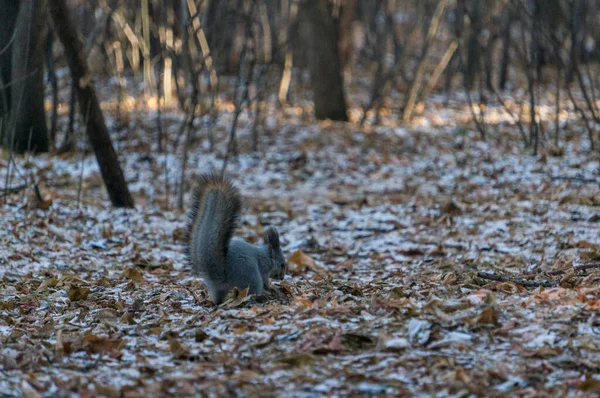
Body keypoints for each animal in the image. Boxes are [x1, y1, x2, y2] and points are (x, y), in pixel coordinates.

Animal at [186, 171, 288, 304]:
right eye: (282, 264)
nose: (282, 277)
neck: (266, 255)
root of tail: (222, 278)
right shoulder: (263, 269)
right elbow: (266, 281)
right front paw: (272, 288)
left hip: (218, 289)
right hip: (252, 278)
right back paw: (260, 297)